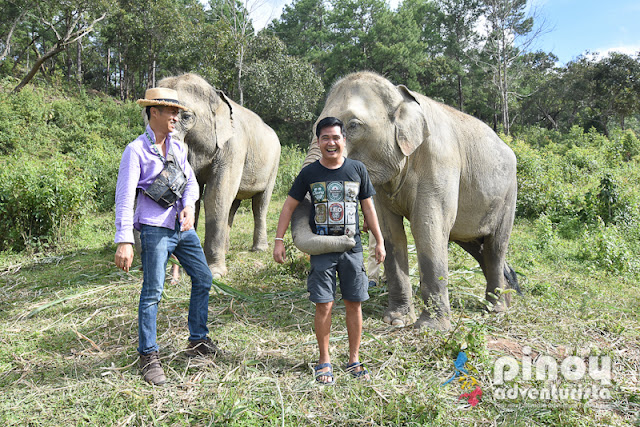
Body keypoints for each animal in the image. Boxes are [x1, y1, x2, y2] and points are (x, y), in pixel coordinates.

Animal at [158, 74, 280, 278]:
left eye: (186, 117)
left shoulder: (234, 147)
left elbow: (215, 195)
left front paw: (215, 273)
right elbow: (194, 196)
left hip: (273, 165)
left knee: (260, 204)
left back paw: (259, 249)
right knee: (233, 205)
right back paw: (226, 249)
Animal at [292, 72, 516, 332]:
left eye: (354, 125)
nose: (348, 234)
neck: (402, 98)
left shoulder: (440, 162)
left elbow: (427, 229)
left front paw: (431, 327)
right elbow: (390, 232)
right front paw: (397, 320)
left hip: (509, 195)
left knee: (495, 246)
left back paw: (496, 309)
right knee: (478, 246)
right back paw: (504, 298)